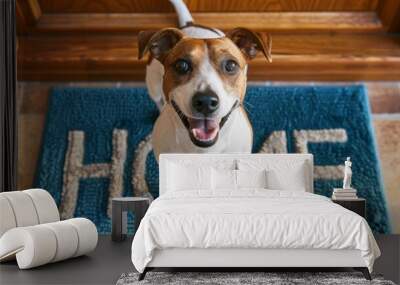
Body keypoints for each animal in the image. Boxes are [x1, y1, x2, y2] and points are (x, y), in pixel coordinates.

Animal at [138, 0, 272, 160]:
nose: (206, 102)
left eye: (231, 65)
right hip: (153, 87)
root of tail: (189, 25)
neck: (203, 150)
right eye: (181, 65)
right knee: (158, 100)